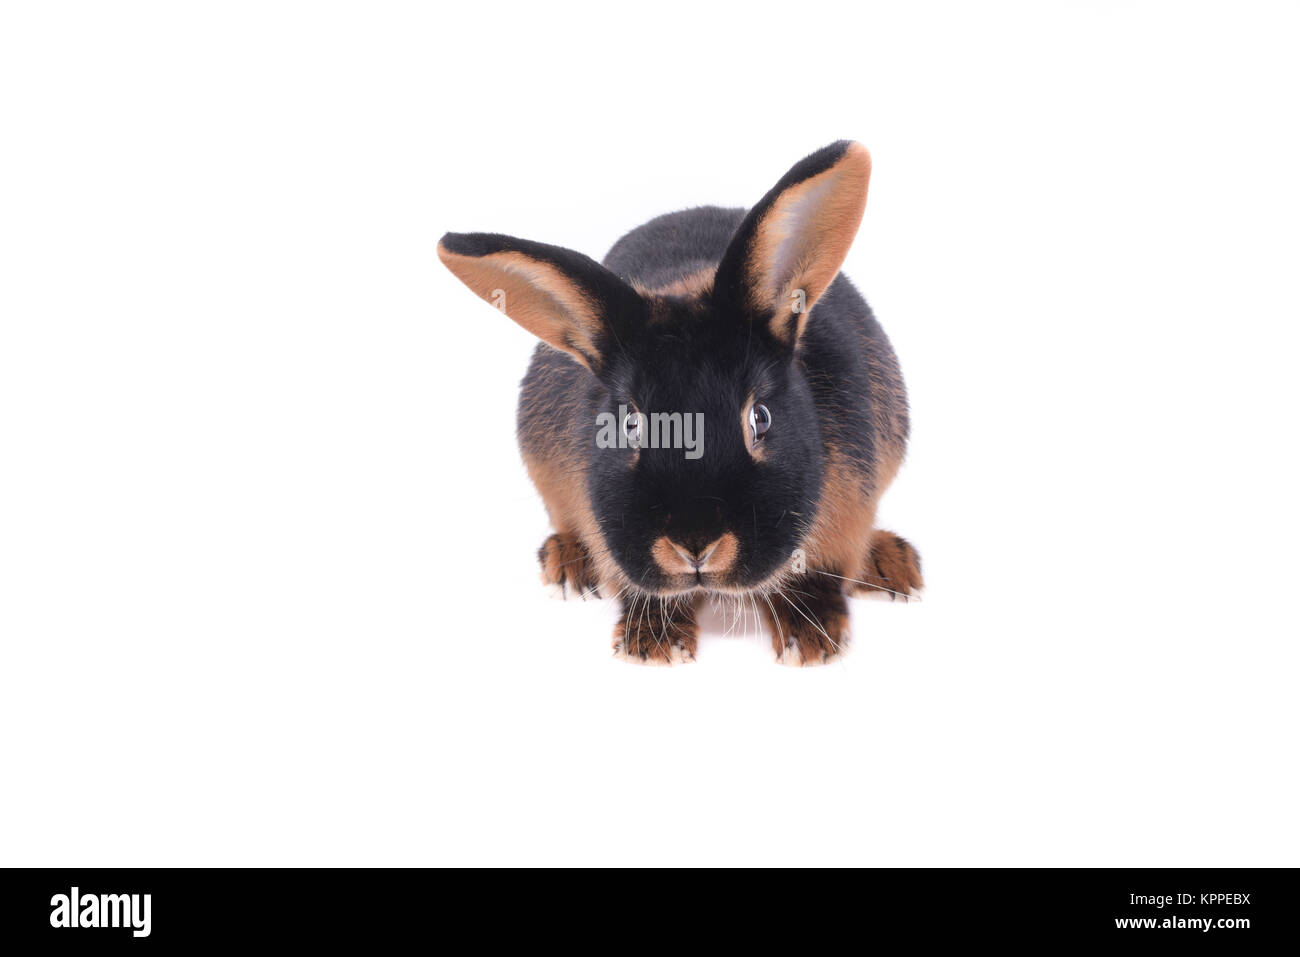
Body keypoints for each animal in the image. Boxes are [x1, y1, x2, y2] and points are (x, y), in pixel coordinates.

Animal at [441, 140, 920, 665]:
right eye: (629, 424)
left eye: (760, 417)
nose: (696, 545)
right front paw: (654, 644)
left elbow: (817, 578)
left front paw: (812, 641)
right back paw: (567, 565)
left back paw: (892, 566)